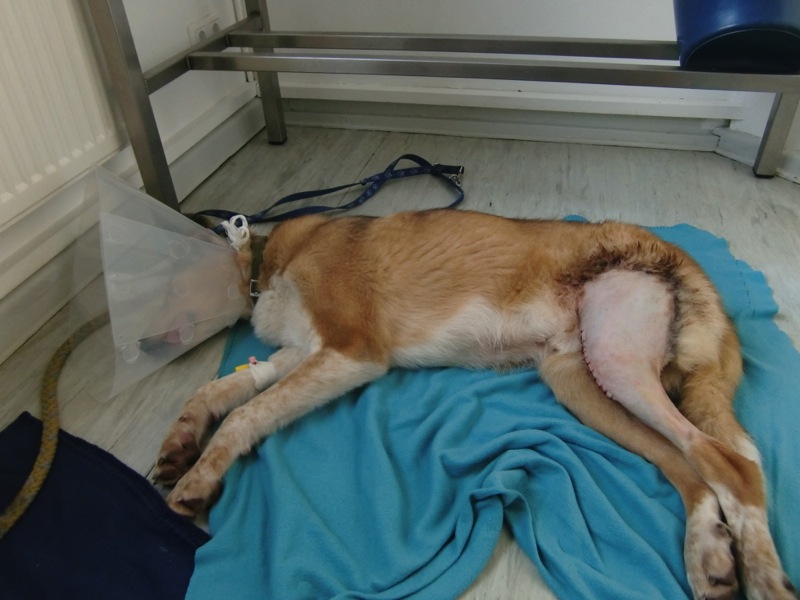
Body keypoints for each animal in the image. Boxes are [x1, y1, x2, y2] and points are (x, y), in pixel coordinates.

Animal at [154, 209, 795, 600]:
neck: (267, 258)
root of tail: (690, 263)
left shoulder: (352, 353)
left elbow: (248, 412)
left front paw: (199, 477)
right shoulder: (303, 354)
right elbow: (222, 390)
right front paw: (181, 441)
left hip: (618, 364)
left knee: (729, 464)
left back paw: (760, 576)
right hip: (580, 381)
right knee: (690, 468)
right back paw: (709, 555)